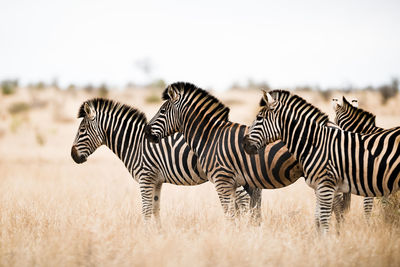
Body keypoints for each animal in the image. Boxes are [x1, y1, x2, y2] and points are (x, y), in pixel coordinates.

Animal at [69, 98, 250, 224]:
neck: (135, 143)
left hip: (228, 174)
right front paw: (158, 235)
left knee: (243, 201)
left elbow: (146, 210)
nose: (73, 156)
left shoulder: (145, 178)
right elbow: (156, 209)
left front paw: (146, 237)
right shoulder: (156, 181)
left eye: (82, 130)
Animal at [144, 82, 316, 223]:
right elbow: (248, 213)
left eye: (162, 111)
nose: (146, 132)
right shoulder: (242, 183)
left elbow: (231, 215)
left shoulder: (223, 181)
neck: (211, 137)